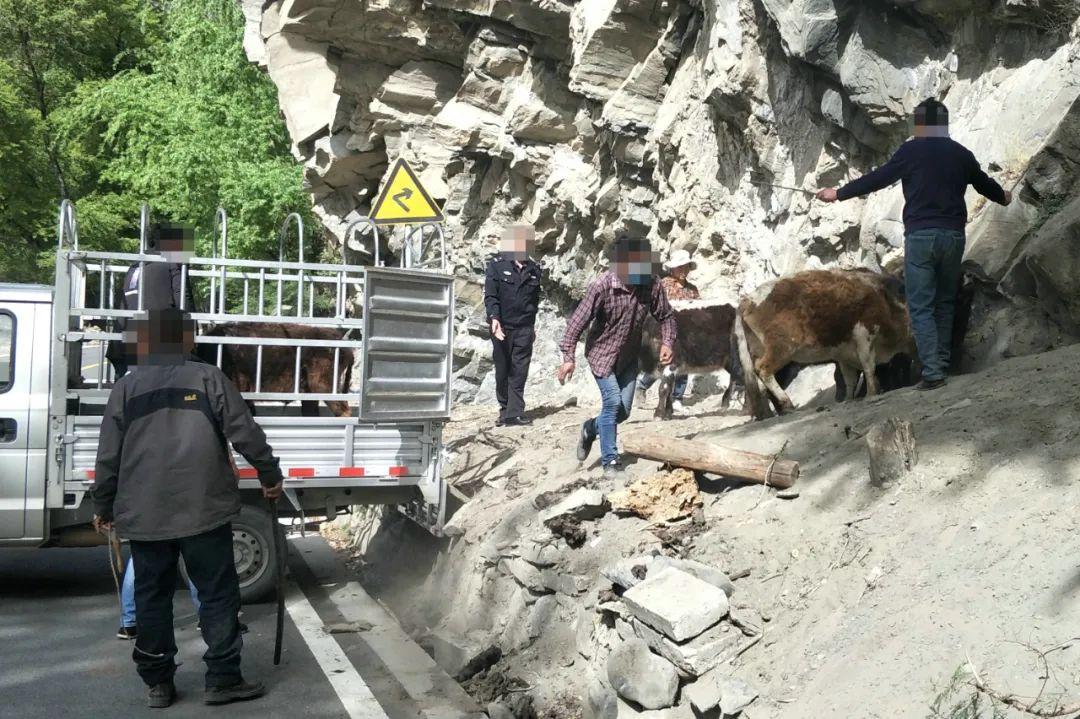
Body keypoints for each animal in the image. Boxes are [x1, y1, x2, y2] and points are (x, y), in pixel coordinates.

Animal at [734, 265, 911, 416]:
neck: (886, 301)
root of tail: (747, 300)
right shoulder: (864, 334)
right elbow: (869, 367)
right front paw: (871, 393)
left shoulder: (844, 354)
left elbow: (849, 379)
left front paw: (849, 399)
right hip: (782, 348)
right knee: (763, 370)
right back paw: (788, 405)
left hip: (759, 349)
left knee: (759, 385)